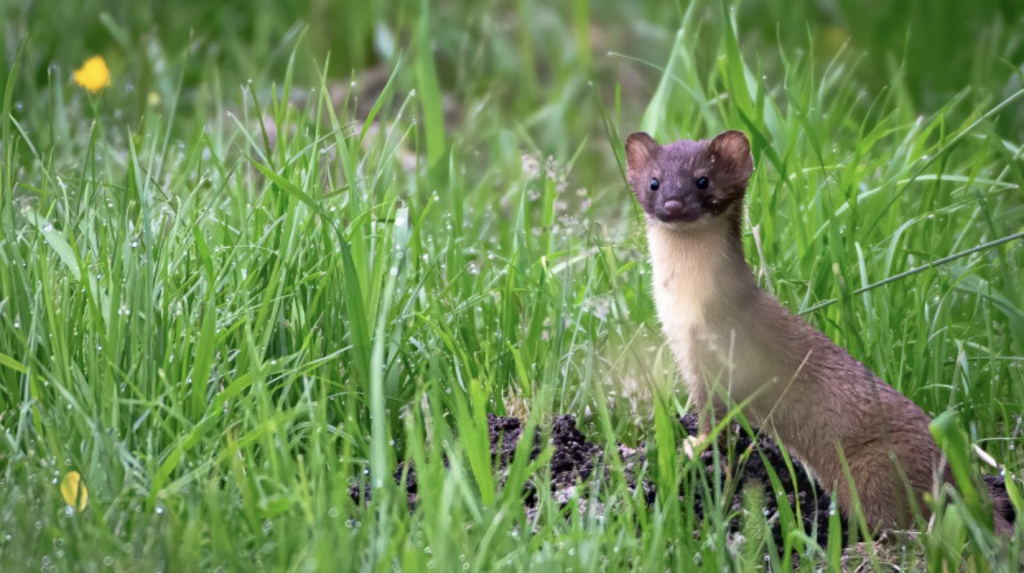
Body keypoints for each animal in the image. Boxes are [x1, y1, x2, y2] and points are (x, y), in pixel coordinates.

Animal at [618, 129, 1011, 532]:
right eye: (654, 182)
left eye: (703, 180)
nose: (673, 204)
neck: (684, 310)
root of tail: (960, 478)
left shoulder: (717, 358)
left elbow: (717, 419)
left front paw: (694, 446)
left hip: (874, 469)